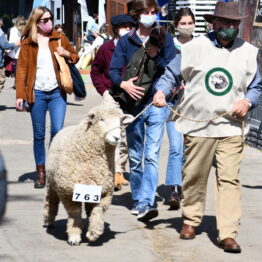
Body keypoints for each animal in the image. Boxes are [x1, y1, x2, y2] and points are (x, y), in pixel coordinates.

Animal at [44, 105, 133, 245]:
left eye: (120, 121)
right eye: (101, 119)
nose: (117, 138)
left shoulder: (103, 192)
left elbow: (97, 211)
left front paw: (93, 233)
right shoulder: (68, 192)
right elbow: (74, 213)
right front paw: (74, 236)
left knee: (88, 210)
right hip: (52, 183)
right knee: (50, 200)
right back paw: (48, 220)